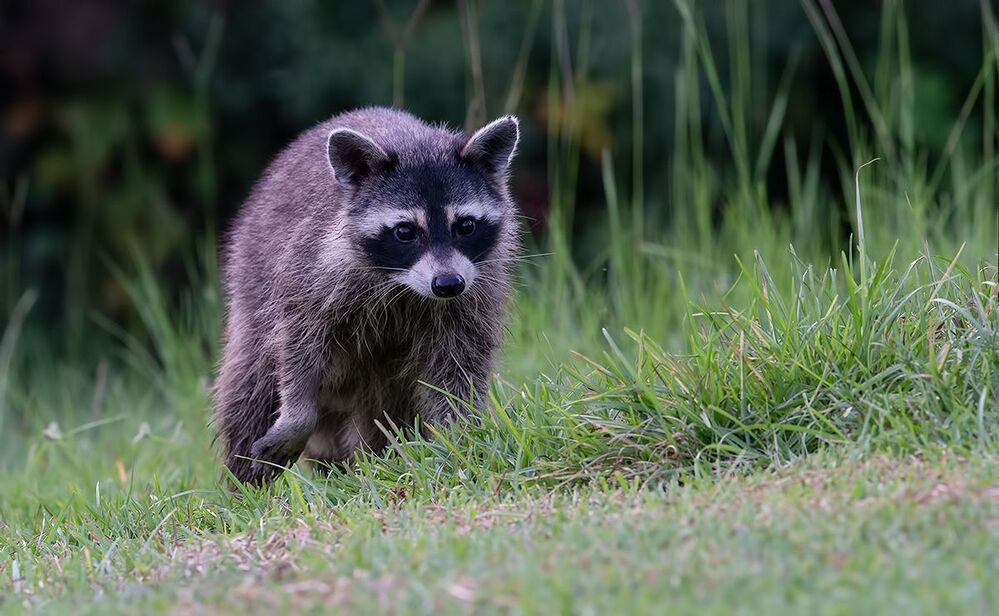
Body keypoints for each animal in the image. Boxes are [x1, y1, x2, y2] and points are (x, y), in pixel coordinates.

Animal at [213, 107, 520, 485]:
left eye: (465, 226)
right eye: (405, 231)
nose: (448, 284)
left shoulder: (474, 294)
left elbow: (459, 365)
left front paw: (459, 436)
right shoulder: (311, 272)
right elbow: (296, 348)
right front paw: (297, 414)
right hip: (250, 280)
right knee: (249, 383)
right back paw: (244, 484)